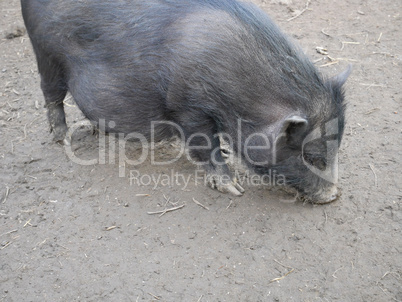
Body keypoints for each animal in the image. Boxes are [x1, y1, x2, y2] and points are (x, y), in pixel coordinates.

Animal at [21, 0, 348, 204]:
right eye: (313, 157)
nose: (334, 195)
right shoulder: (188, 107)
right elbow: (206, 145)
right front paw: (234, 189)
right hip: (46, 57)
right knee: (51, 97)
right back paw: (62, 139)